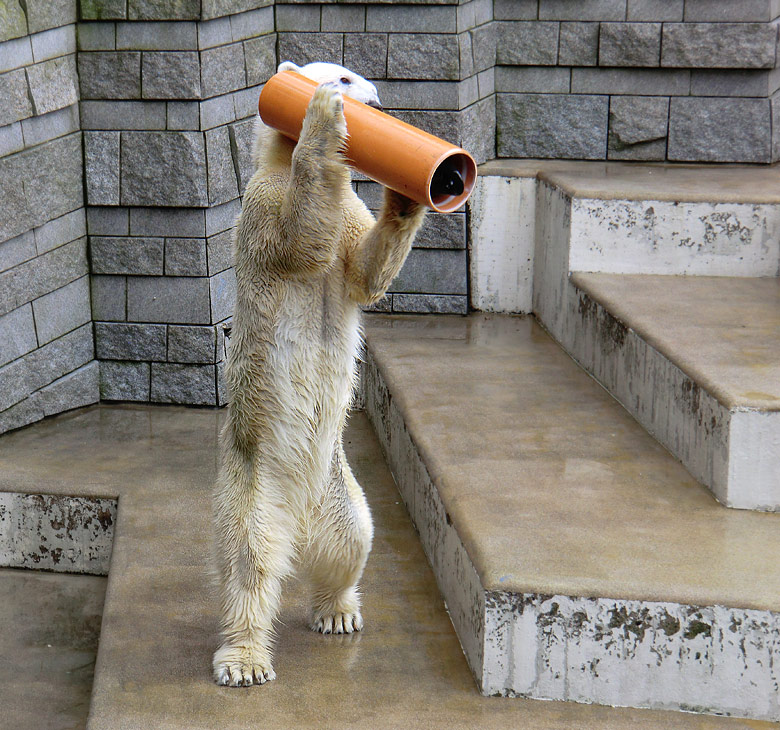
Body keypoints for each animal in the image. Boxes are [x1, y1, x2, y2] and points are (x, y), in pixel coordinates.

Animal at [212, 61, 426, 684]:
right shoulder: (261, 204)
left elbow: (363, 271)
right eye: (347, 79)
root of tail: (299, 523)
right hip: (254, 482)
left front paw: (407, 191)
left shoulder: (349, 218)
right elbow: (299, 236)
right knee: (249, 560)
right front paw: (323, 117)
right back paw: (244, 660)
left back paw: (338, 611)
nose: (376, 103)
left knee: (354, 537)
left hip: (337, 486)